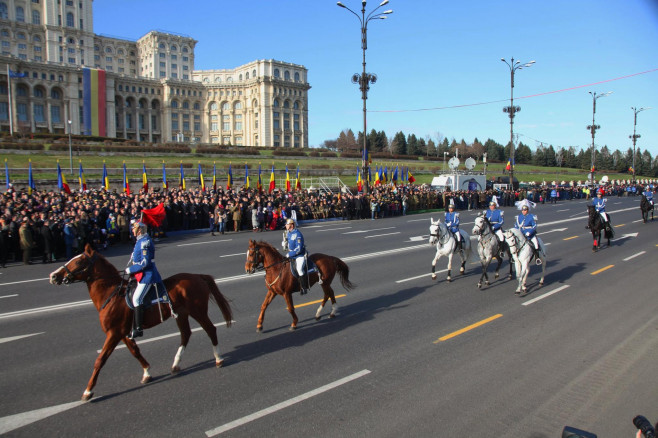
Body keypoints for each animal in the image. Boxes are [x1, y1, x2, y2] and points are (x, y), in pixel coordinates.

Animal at [49, 245, 233, 402]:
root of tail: (197, 276)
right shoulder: (122, 333)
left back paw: (218, 359)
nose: (53, 276)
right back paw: (175, 364)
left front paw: (88, 391)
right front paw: (146, 372)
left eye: (79, 261)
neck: (112, 294)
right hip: (181, 315)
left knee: (210, 329)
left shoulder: (114, 333)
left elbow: (100, 360)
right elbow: (135, 351)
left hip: (198, 312)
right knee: (185, 334)